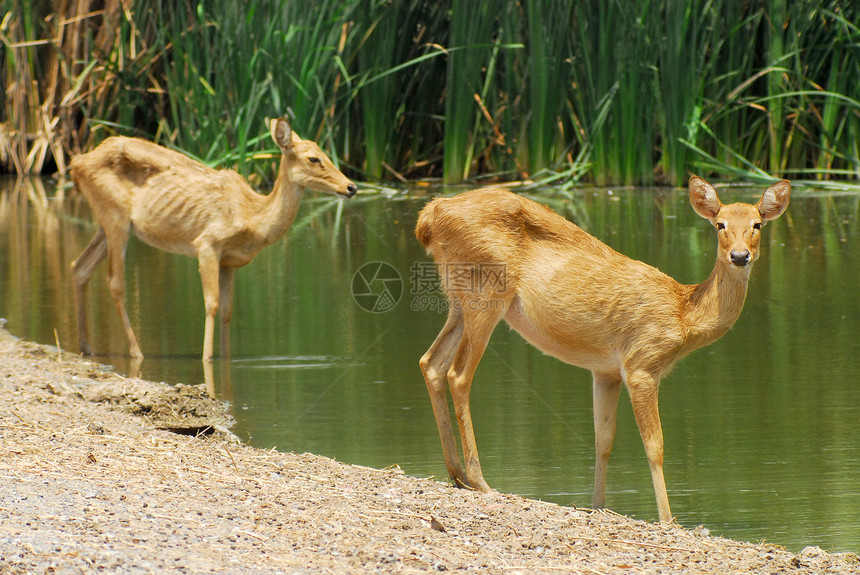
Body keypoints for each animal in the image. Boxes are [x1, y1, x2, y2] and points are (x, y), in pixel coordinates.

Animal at [70, 116, 356, 360]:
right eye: (314, 159)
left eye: (327, 153)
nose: (351, 186)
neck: (253, 218)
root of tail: (76, 165)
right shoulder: (207, 244)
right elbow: (212, 303)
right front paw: (207, 358)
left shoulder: (229, 260)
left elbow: (228, 310)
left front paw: (225, 357)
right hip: (115, 216)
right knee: (115, 282)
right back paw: (136, 352)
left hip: (106, 223)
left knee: (80, 267)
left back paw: (86, 347)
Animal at [418, 178, 792, 524]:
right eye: (720, 224)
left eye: (758, 224)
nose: (740, 256)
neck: (684, 316)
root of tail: (430, 215)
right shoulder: (641, 363)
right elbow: (655, 445)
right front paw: (668, 519)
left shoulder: (606, 370)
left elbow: (603, 441)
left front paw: (598, 505)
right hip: (486, 289)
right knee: (458, 374)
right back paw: (480, 480)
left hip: (458, 297)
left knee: (431, 362)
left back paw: (456, 474)